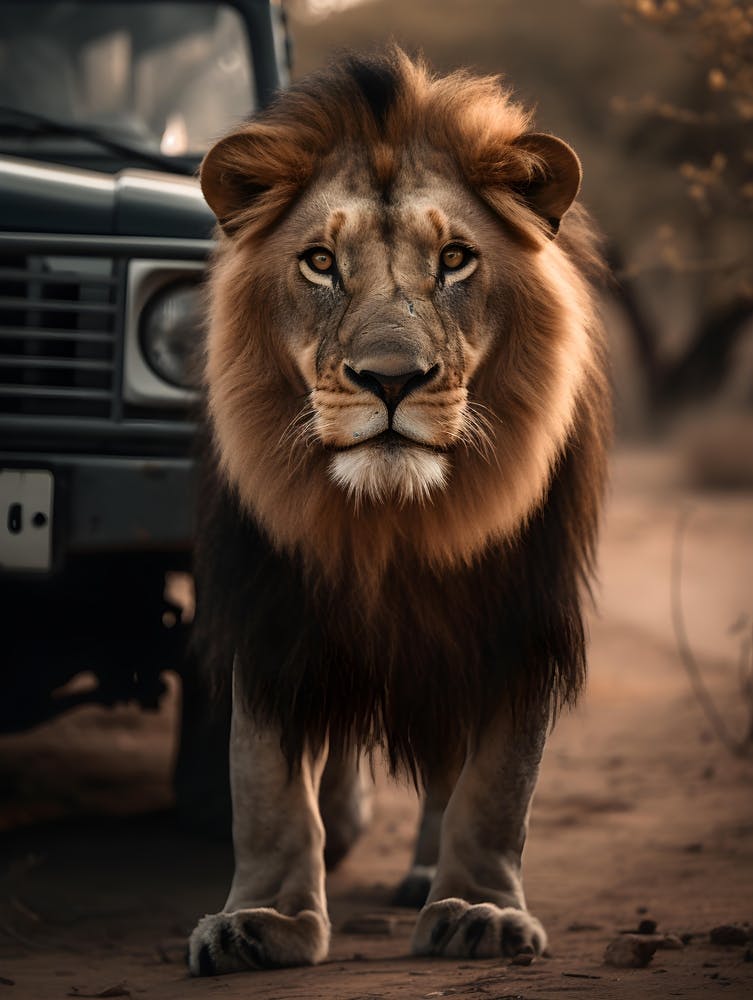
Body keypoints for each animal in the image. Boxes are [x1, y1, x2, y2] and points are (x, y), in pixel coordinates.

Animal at [187, 48, 610, 975]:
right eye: (318, 262)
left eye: (454, 259)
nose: (390, 379)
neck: (389, 524)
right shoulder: (272, 607)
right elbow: (263, 781)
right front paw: (264, 920)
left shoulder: (516, 614)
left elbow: (498, 783)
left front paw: (480, 909)